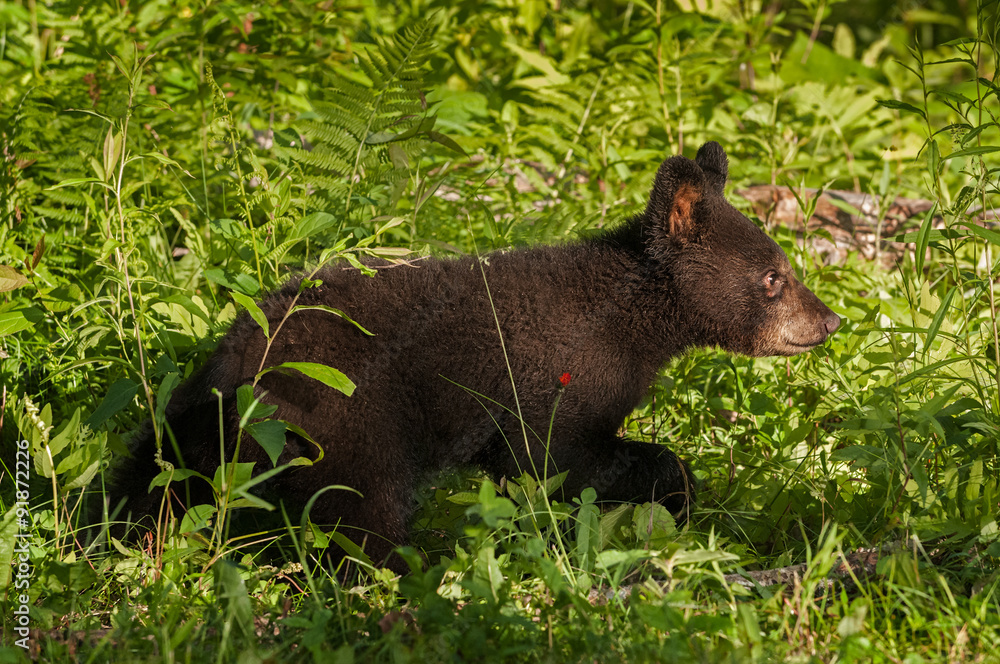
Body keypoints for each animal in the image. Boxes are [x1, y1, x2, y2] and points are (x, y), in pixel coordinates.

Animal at [110, 142, 840, 571]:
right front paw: (675, 493)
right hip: (350, 427)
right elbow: (554, 459)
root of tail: (240, 366)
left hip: (189, 423)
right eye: (773, 277)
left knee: (145, 480)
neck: (631, 320)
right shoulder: (556, 378)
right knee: (362, 515)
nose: (829, 320)